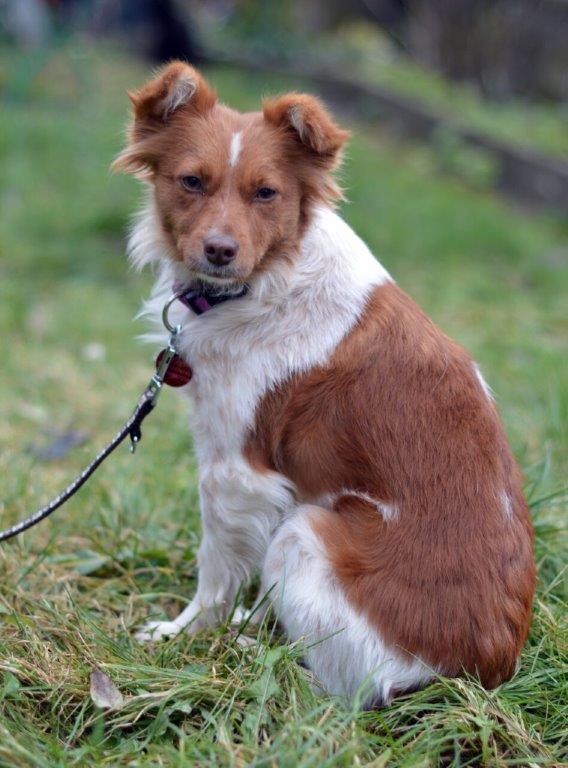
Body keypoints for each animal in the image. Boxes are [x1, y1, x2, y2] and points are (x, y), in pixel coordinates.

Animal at [113, 62, 535, 705]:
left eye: (267, 193)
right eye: (191, 182)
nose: (219, 251)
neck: (269, 279)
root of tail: (471, 675)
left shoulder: (236, 471)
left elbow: (216, 571)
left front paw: (185, 636)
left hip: (309, 532)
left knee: (346, 694)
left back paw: (260, 656)